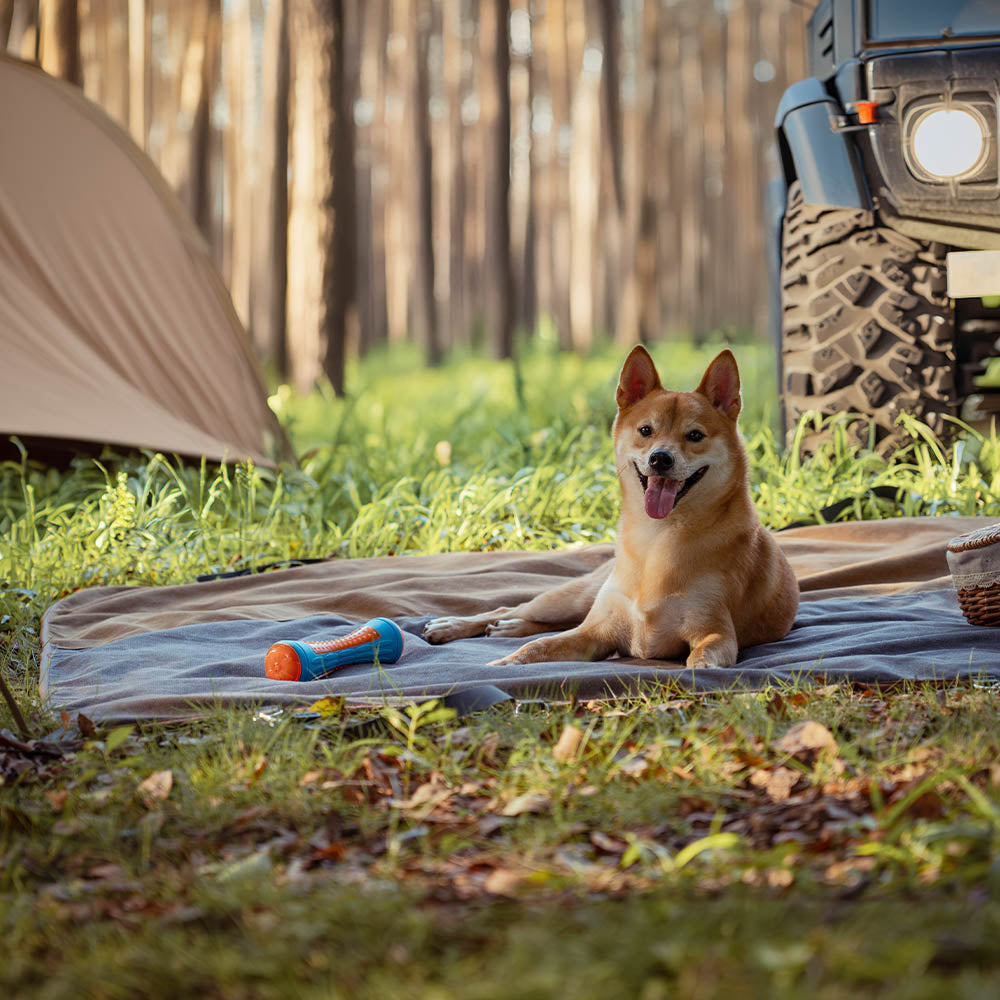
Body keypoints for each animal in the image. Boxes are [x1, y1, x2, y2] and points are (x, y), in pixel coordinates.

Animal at [426, 348, 800, 668]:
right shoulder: (596, 632)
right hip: (575, 595)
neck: (656, 537)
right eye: (646, 430)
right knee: (515, 607)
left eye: (695, 436)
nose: (660, 458)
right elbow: (538, 647)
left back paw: (509, 627)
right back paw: (455, 626)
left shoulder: (714, 631)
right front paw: (502, 663)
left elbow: (704, 655)